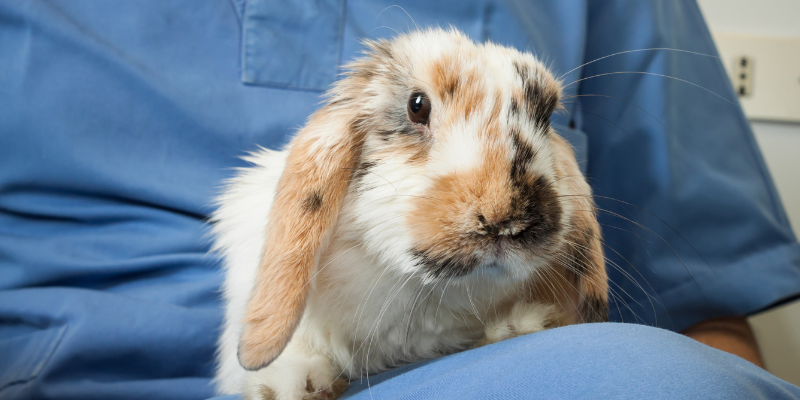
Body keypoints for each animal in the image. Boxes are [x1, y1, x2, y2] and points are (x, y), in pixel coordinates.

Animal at [210, 28, 609, 400]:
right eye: (417, 105)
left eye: (546, 116)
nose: (504, 218)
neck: (421, 290)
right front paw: (291, 385)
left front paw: (523, 324)